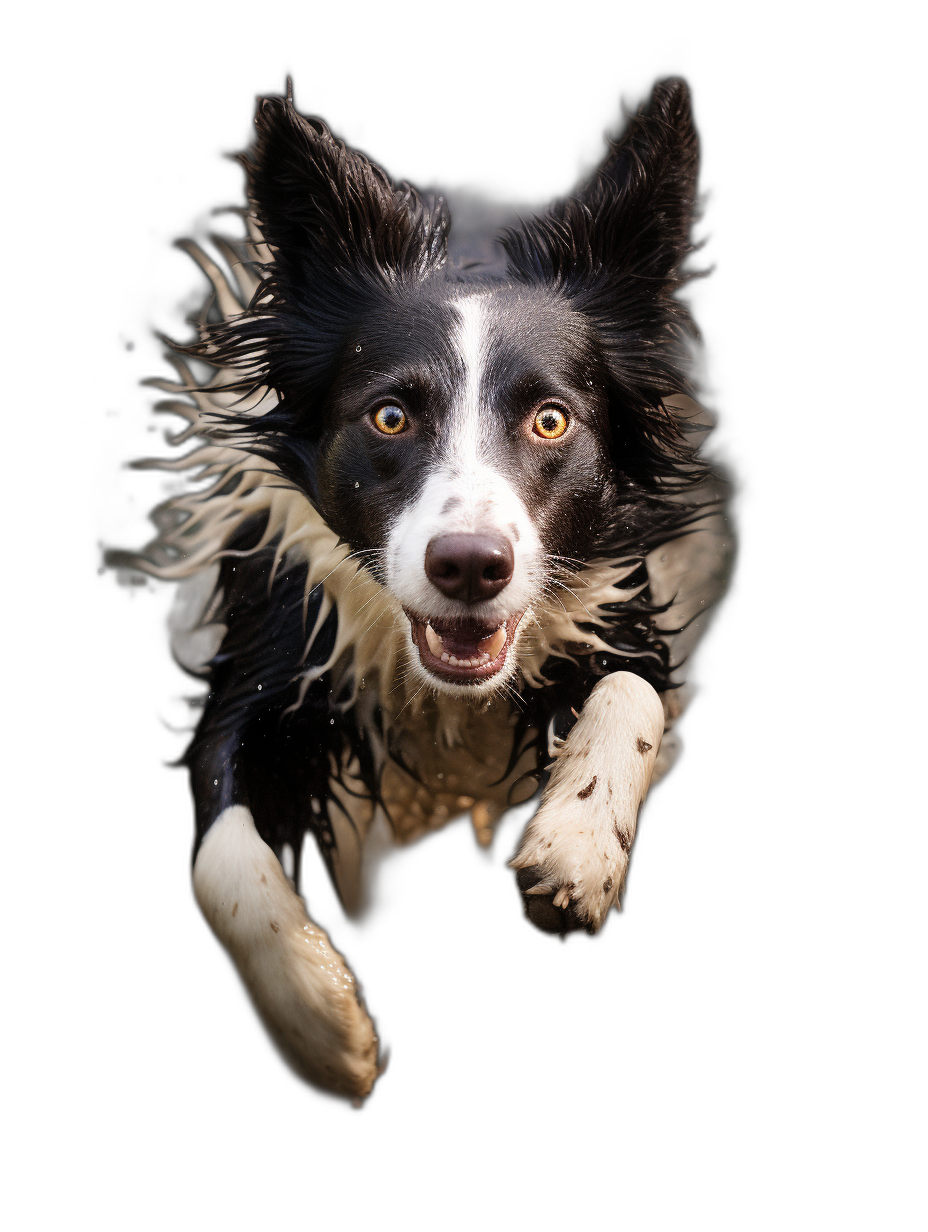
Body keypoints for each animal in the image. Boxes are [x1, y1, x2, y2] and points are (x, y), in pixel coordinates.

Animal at [131, 81, 729, 1103]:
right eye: (390, 415)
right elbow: (223, 851)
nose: (470, 565)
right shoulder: (274, 640)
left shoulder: (622, 599)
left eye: (551, 419)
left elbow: (631, 690)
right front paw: (317, 1024)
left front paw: (576, 850)